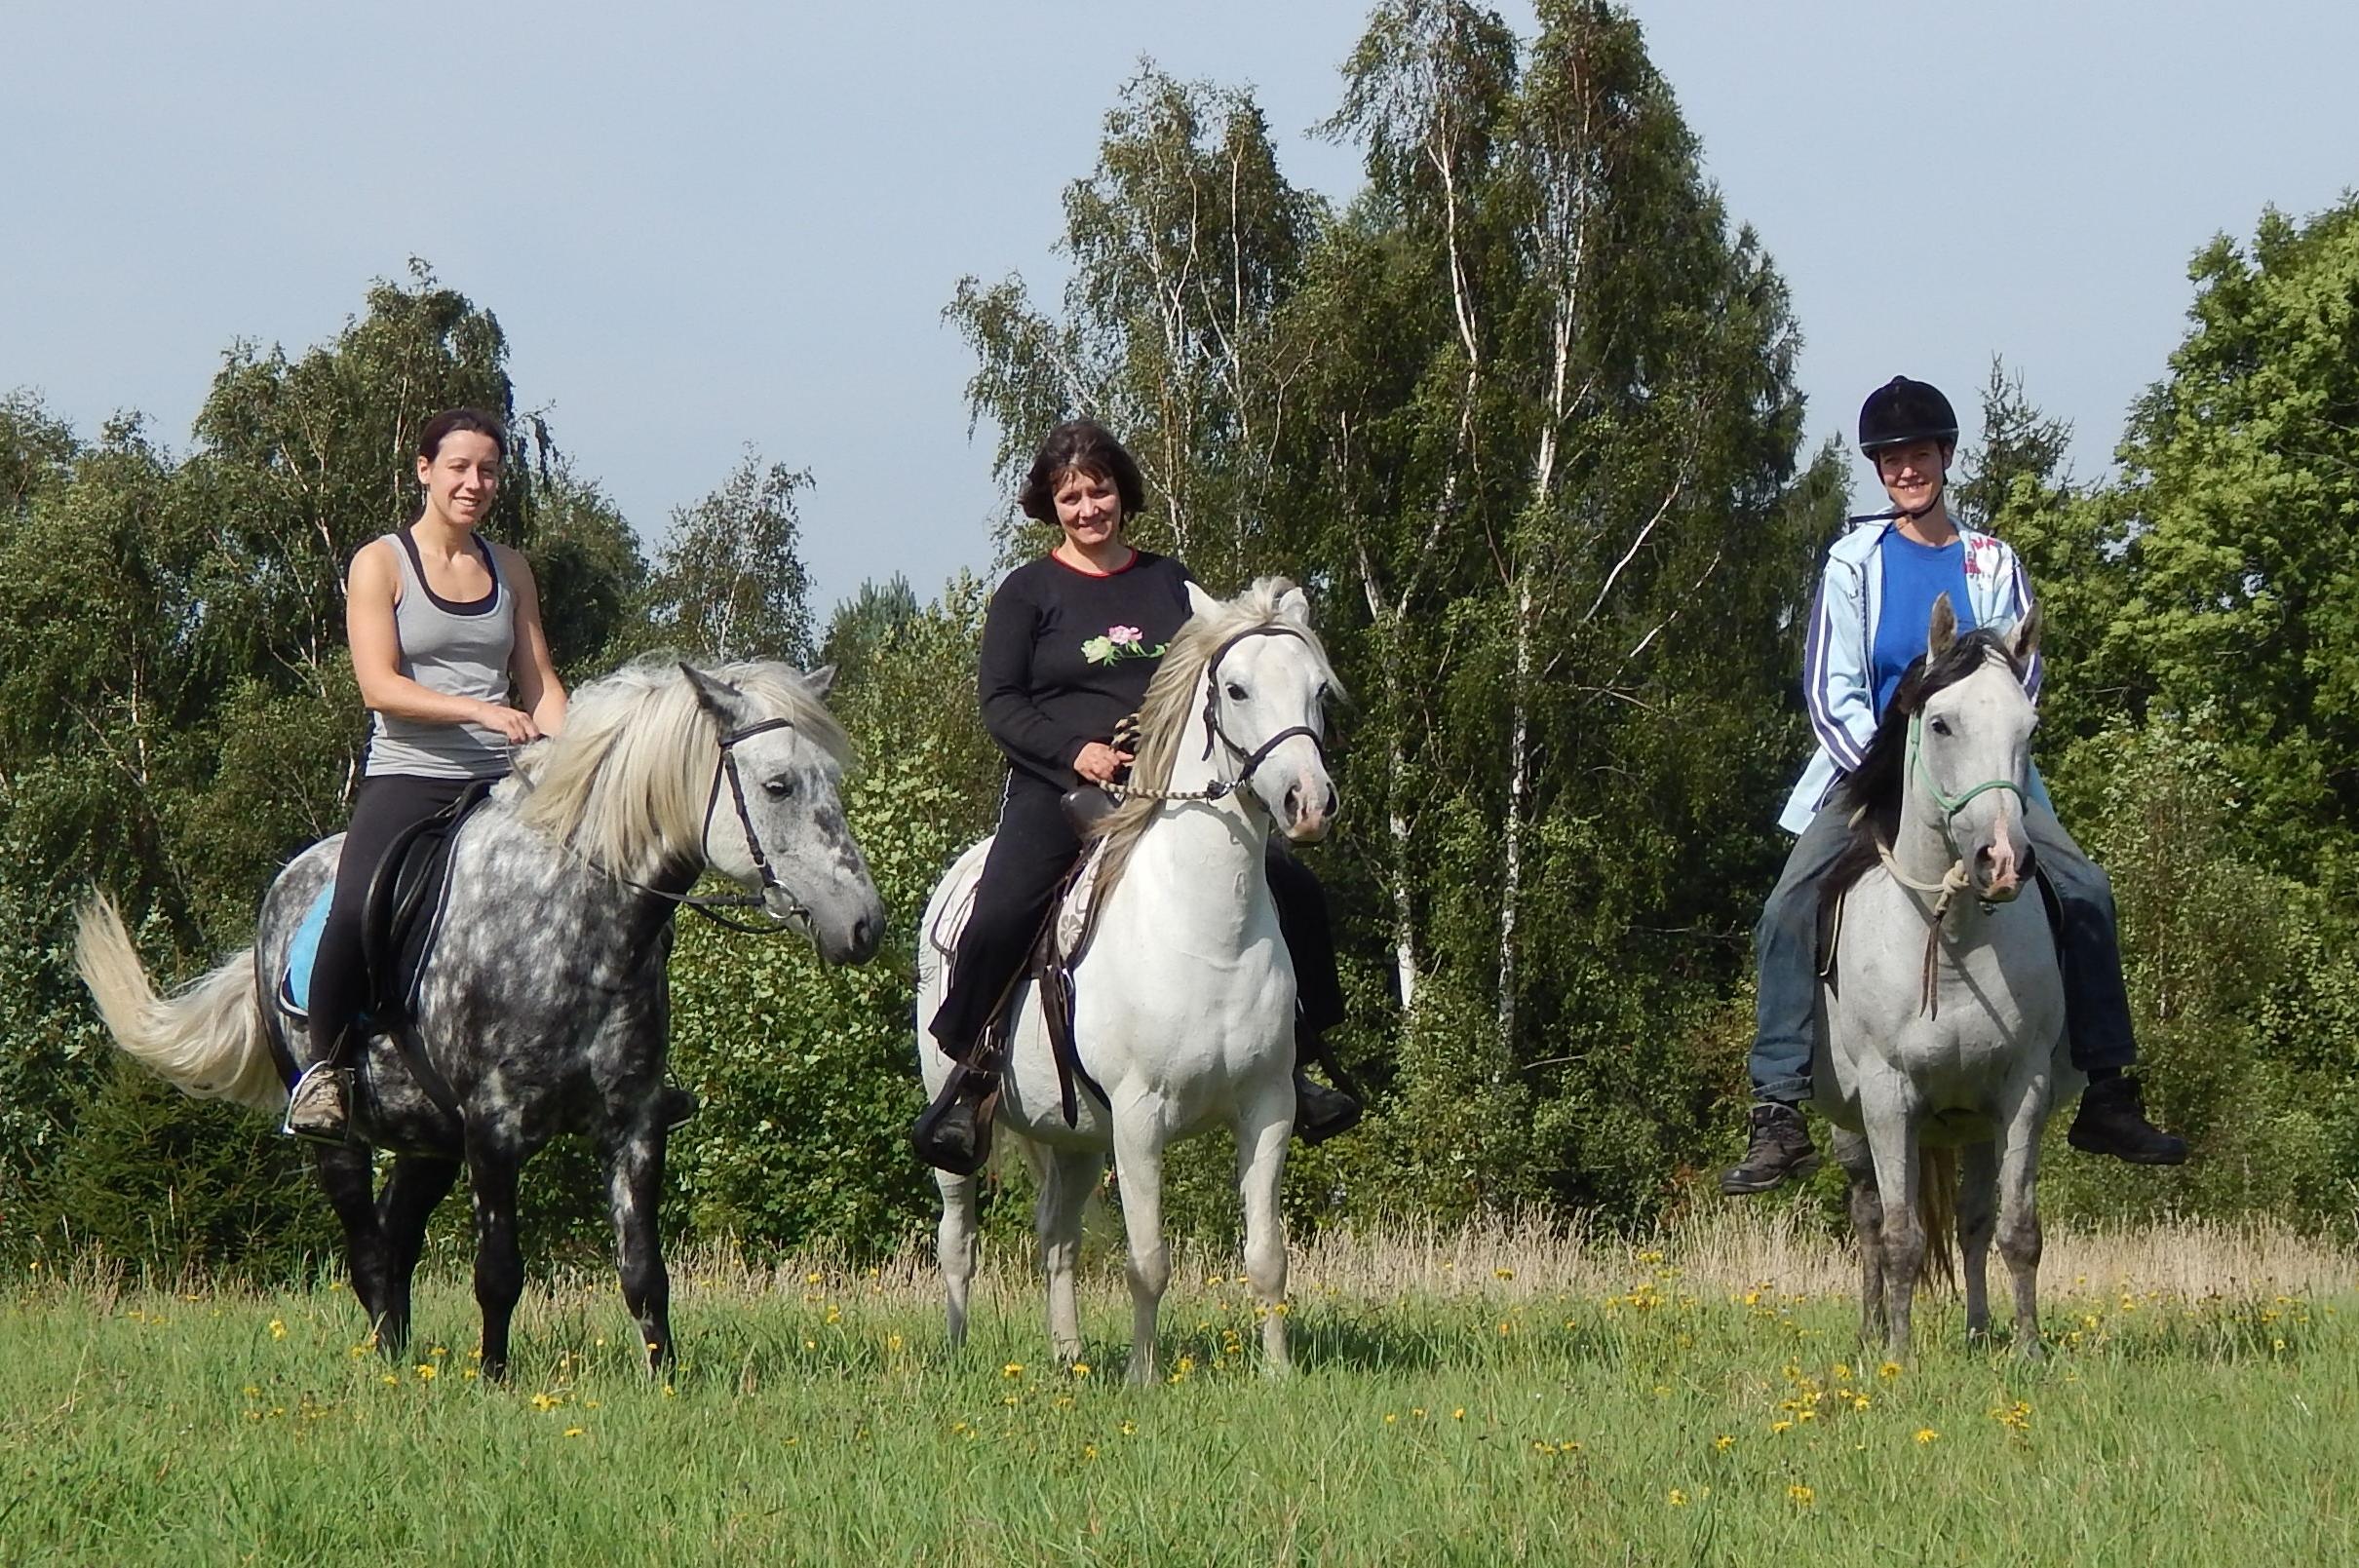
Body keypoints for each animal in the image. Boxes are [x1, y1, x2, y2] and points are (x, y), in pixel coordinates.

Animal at [75, 658, 883, 1378]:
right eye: (777, 784)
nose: (864, 924)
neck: (577, 920)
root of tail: (286, 888)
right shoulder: (493, 1128)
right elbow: (498, 1270)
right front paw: (494, 1378)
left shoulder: (634, 1125)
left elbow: (644, 1272)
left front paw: (666, 1382)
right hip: (342, 1133)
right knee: (367, 1248)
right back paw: (391, 1367)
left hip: (429, 1138)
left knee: (396, 1239)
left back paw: (399, 1356)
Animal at [916, 578, 1339, 1384]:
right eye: (1236, 689)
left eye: (1318, 690)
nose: (1308, 802)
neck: (1205, 930)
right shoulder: (1142, 1119)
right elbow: (1148, 1260)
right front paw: (1144, 1377)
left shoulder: (1267, 1107)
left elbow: (1267, 1255)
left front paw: (1277, 1373)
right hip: (961, 1126)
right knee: (960, 1241)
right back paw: (953, 1352)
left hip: (1078, 1135)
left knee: (1057, 1237)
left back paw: (1070, 1356)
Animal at [1814, 595, 2072, 1360]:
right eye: (1940, 723)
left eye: (2028, 729)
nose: (2002, 859)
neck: (1954, 942)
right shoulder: (1886, 1097)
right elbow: (1901, 1236)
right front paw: (1898, 1357)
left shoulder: (2022, 1092)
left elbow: (2017, 1230)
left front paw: (2028, 1350)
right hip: (1851, 1125)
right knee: (1870, 1217)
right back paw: (1873, 1333)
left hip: (1974, 1124)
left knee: (1973, 1220)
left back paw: (1981, 1332)